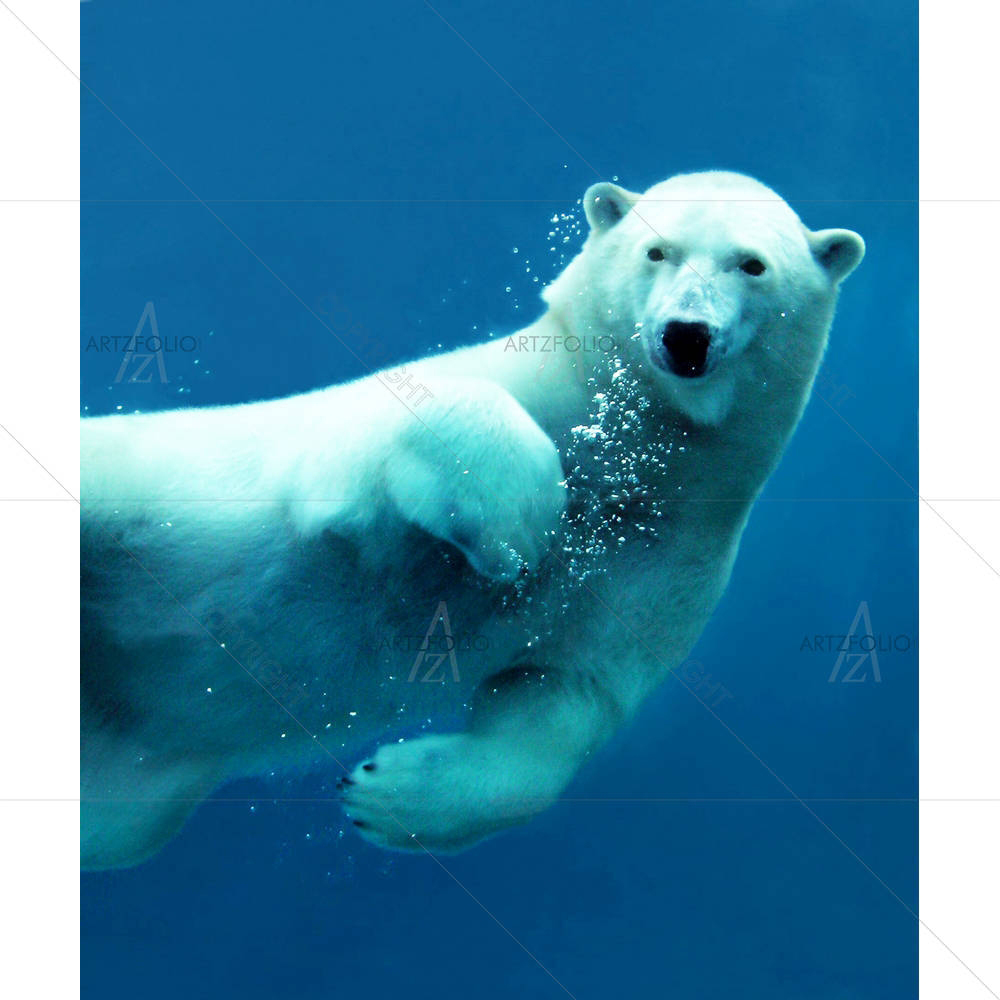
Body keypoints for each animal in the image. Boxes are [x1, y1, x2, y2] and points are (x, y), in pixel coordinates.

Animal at [80, 171, 864, 867]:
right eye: (656, 250)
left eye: (752, 264)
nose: (686, 334)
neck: (634, 448)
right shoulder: (382, 433)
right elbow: (403, 431)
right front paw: (520, 527)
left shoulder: (672, 554)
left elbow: (563, 698)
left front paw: (386, 796)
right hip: (123, 491)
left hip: (137, 782)